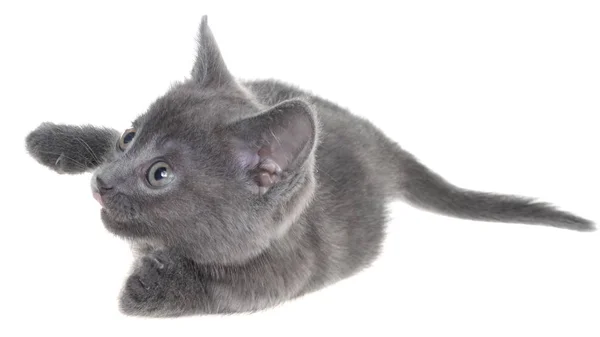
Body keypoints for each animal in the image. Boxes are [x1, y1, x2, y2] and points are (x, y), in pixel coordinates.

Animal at [25, 16, 592, 316]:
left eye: (159, 175)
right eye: (130, 137)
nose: (101, 183)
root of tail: (375, 141)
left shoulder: (286, 272)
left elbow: (228, 288)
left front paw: (150, 288)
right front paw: (52, 140)